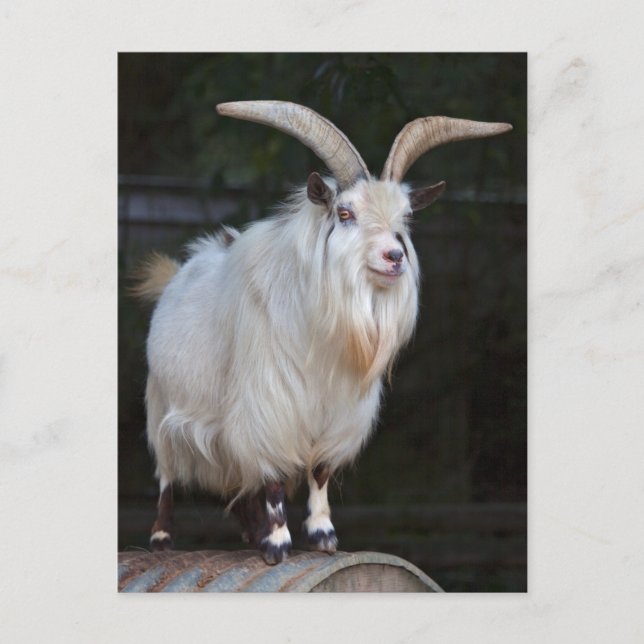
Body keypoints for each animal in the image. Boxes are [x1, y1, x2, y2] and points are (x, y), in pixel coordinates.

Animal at [134, 101, 511, 564]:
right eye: (345, 214)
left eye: (405, 218)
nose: (395, 256)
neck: (321, 334)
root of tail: (179, 271)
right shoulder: (269, 405)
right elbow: (274, 477)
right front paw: (278, 544)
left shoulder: (339, 412)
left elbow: (320, 471)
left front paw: (322, 536)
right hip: (162, 407)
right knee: (168, 475)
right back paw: (163, 538)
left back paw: (250, 532)